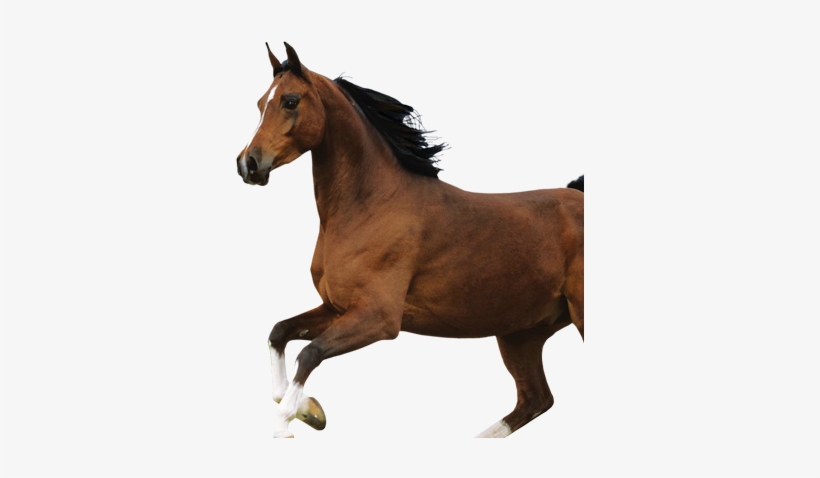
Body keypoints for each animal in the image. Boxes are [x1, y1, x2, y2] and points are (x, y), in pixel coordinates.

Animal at [235, 42, 584, 438]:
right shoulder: (338, 309)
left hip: (577, 316)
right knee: (535, 400)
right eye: (260, 103)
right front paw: (310, 411)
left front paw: (288, 423)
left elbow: (309, 354)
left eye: (290, 101)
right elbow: (279, 332)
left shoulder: (379, 318)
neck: (370, 206)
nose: (248, 164)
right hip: (520, 333)